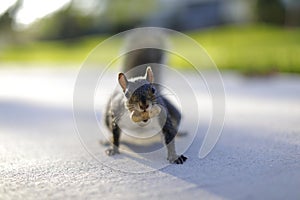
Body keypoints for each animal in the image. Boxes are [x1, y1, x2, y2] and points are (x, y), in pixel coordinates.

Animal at [104, 29, 186, 164]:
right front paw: (113, 149)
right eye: (127, 94)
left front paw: (174, 156)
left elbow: (169, 134)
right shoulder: (116, 115)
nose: (144, 105)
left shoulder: (163, 115)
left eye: (153, 89)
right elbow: (115, 134)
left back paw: (179, 133)